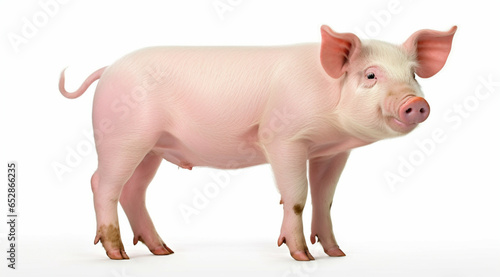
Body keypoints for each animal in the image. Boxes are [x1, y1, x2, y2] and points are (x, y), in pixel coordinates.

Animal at [58, 24, 458, 260]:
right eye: (371, 75)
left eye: (413, 75)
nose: (415, 103)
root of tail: (107, 69)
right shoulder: (283, 139)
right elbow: (296, 197)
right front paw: (302, 257)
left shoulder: (333, 151)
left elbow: (325, 198)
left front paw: (337, 254)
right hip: (122, 136)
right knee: (102, 183)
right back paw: (118, 255)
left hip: (152, 148)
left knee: (133, 190)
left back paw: (164, 251)